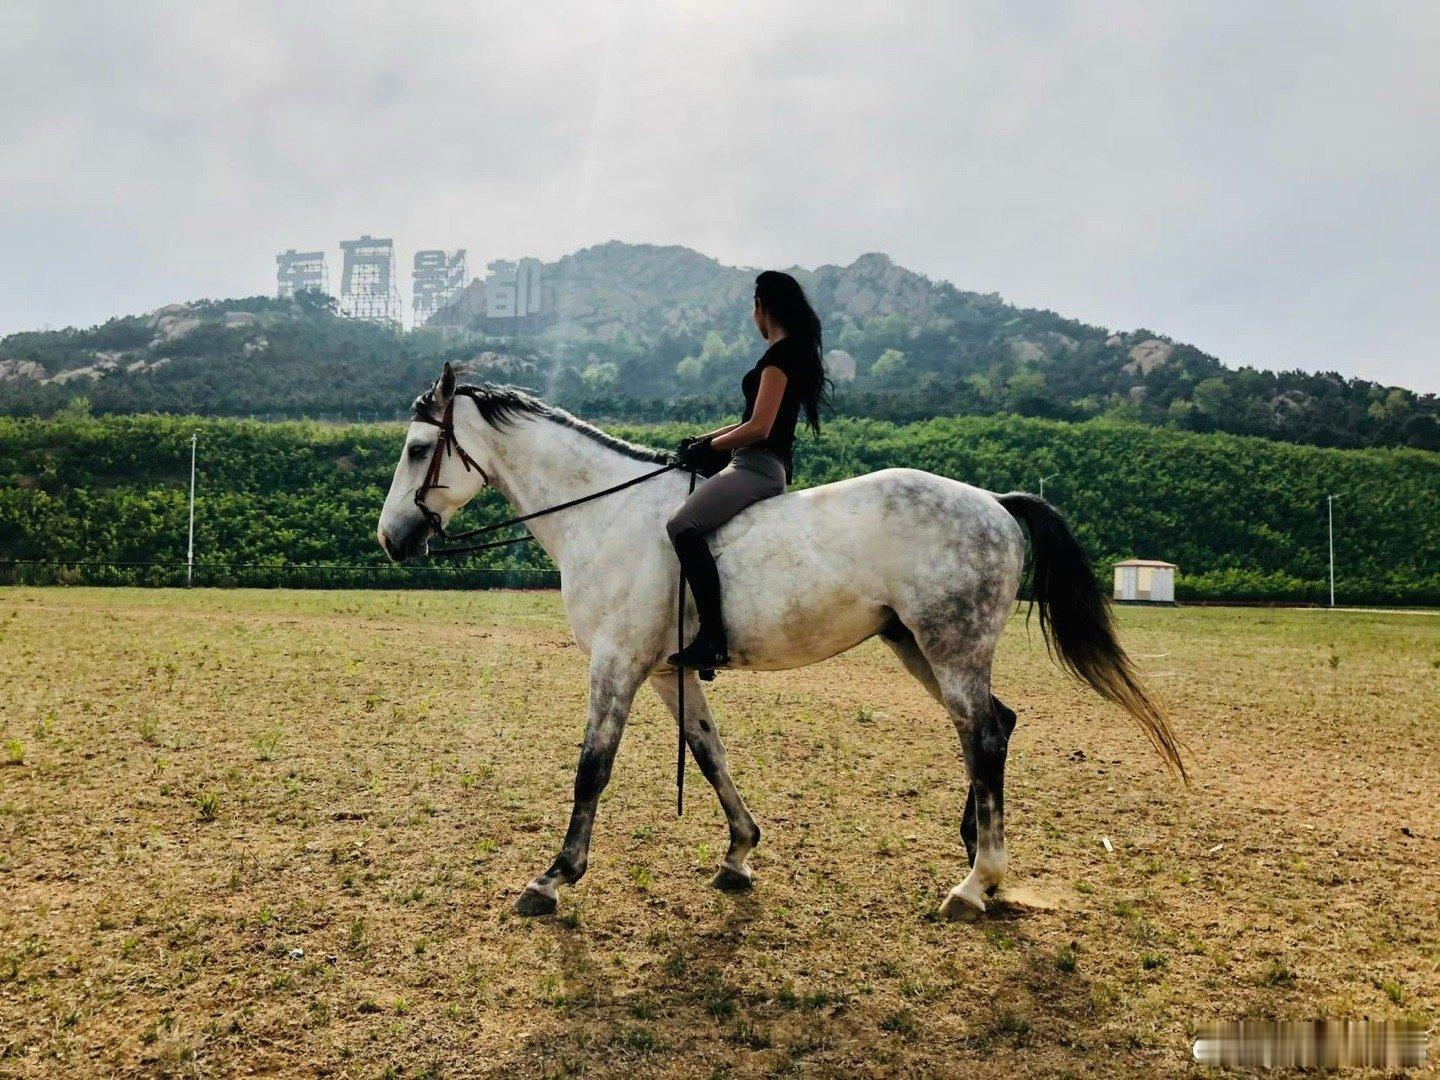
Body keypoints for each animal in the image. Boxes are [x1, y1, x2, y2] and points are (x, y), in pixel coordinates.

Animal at [374, 364, 1180, 921]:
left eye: (417, 449)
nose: (392, 540)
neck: (603, 516)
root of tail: (995, 502)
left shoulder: (616, 663)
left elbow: (590, 771)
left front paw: (552, 878)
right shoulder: (667, 671)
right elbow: (708, 753)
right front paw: (739, 853)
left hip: (950, 647)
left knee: (981, 733)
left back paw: (976, 882)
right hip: (918, 645)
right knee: (992, 727)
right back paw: (974, 853)